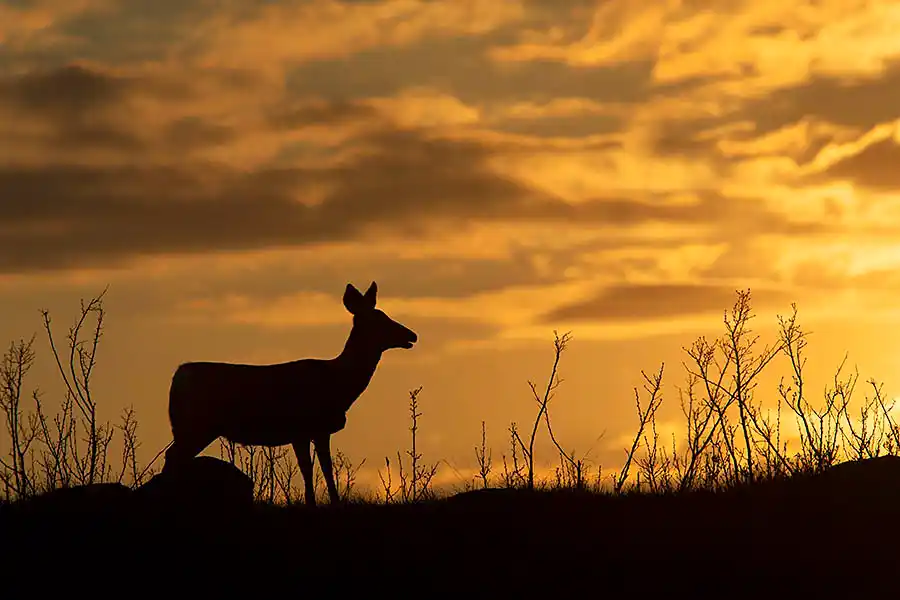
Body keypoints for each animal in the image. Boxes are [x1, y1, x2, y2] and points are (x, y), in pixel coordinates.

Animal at [161, 281, 417, 506]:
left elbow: (314, 467)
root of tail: (178, 376)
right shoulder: (307, 427)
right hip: (197, 425)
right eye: (380, 319)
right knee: (173, 457)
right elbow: (317, 468)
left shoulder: (307, 432)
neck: (338, 384)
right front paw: (326, 503)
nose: (412, 335)